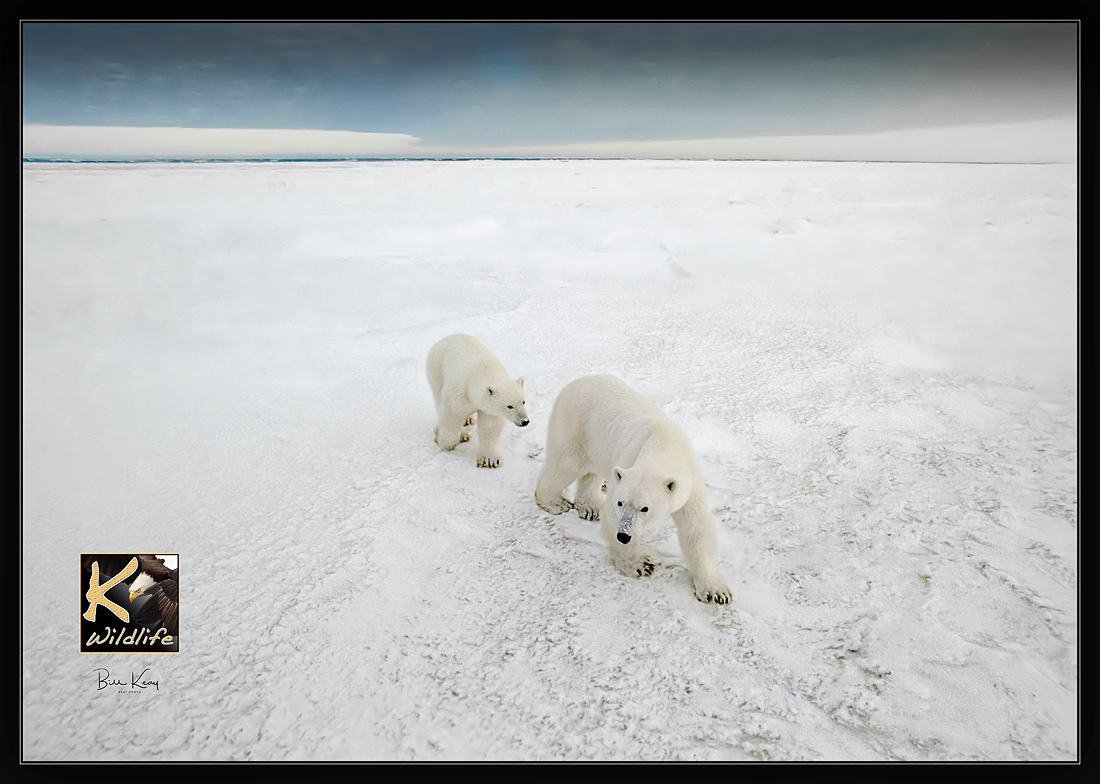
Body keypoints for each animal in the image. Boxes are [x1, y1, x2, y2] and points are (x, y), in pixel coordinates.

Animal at [426, 334, 530, 468]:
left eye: (523, 402)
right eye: (509, 406)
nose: (525, 421)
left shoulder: (488, 409)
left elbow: (490, 426)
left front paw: (489, 460)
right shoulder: (459, 392)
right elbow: (451, 416)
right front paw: (447, 442)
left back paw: (468, 419)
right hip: (437, 371)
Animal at [535, 374, 732, 604]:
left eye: (645, 508)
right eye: (621, 503)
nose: (624, 535)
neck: (662, 445)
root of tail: (574, 383)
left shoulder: (689, 483)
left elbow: (696, 528)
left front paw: (716, 592)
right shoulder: (627, 466)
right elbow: (612, 517)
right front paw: (640, 565)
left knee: (590, 471)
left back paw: (590, 508)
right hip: (575, 424)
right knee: (565, 464)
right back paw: (554, 502)